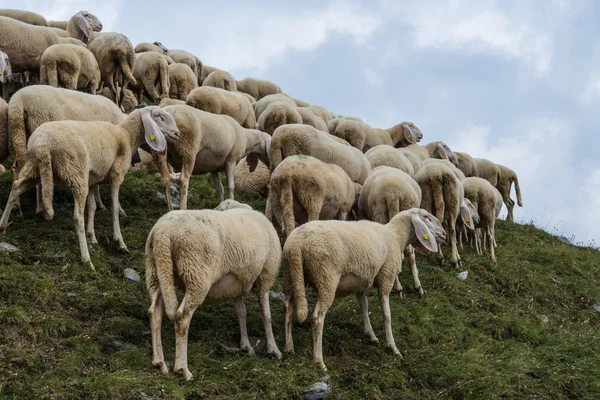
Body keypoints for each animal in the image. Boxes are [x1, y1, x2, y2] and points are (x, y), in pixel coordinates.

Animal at [0, 105, 178, 272]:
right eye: (159, 116)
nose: (176, 133)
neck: (126, 135)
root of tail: (43, 144)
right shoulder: (116, 175)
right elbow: (114, 208)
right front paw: (119, 242)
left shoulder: (93, 180)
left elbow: (92, 207)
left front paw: (92, 236)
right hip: (76, 173)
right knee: (77, 217)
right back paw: (86, 259)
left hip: (35, 168)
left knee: (16, 187)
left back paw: (2, 226)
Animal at [147, 200, 284, 382]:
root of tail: (163, 233)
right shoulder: (266, 275)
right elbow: (266, 315)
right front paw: (273, 349)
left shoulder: (237, 284)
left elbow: (241, 312)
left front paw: (246, 346)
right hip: (196, 275)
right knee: (182, 318)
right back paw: (183, 369)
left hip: (158, 271)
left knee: (154, 312)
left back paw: (159, 362)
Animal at [282, 209, 446, 372]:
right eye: (427, 217)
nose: (444, 234)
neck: (396, 236)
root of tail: (296, 244)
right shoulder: (386, 277)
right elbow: (387, 315)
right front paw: (393, 347)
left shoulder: (359, 281)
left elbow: (364, 306)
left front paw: (371, 335)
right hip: (326, 278)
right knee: (317, 318)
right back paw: (319, 361)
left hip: (291, 276)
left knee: (288, 308)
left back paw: (289, 347)